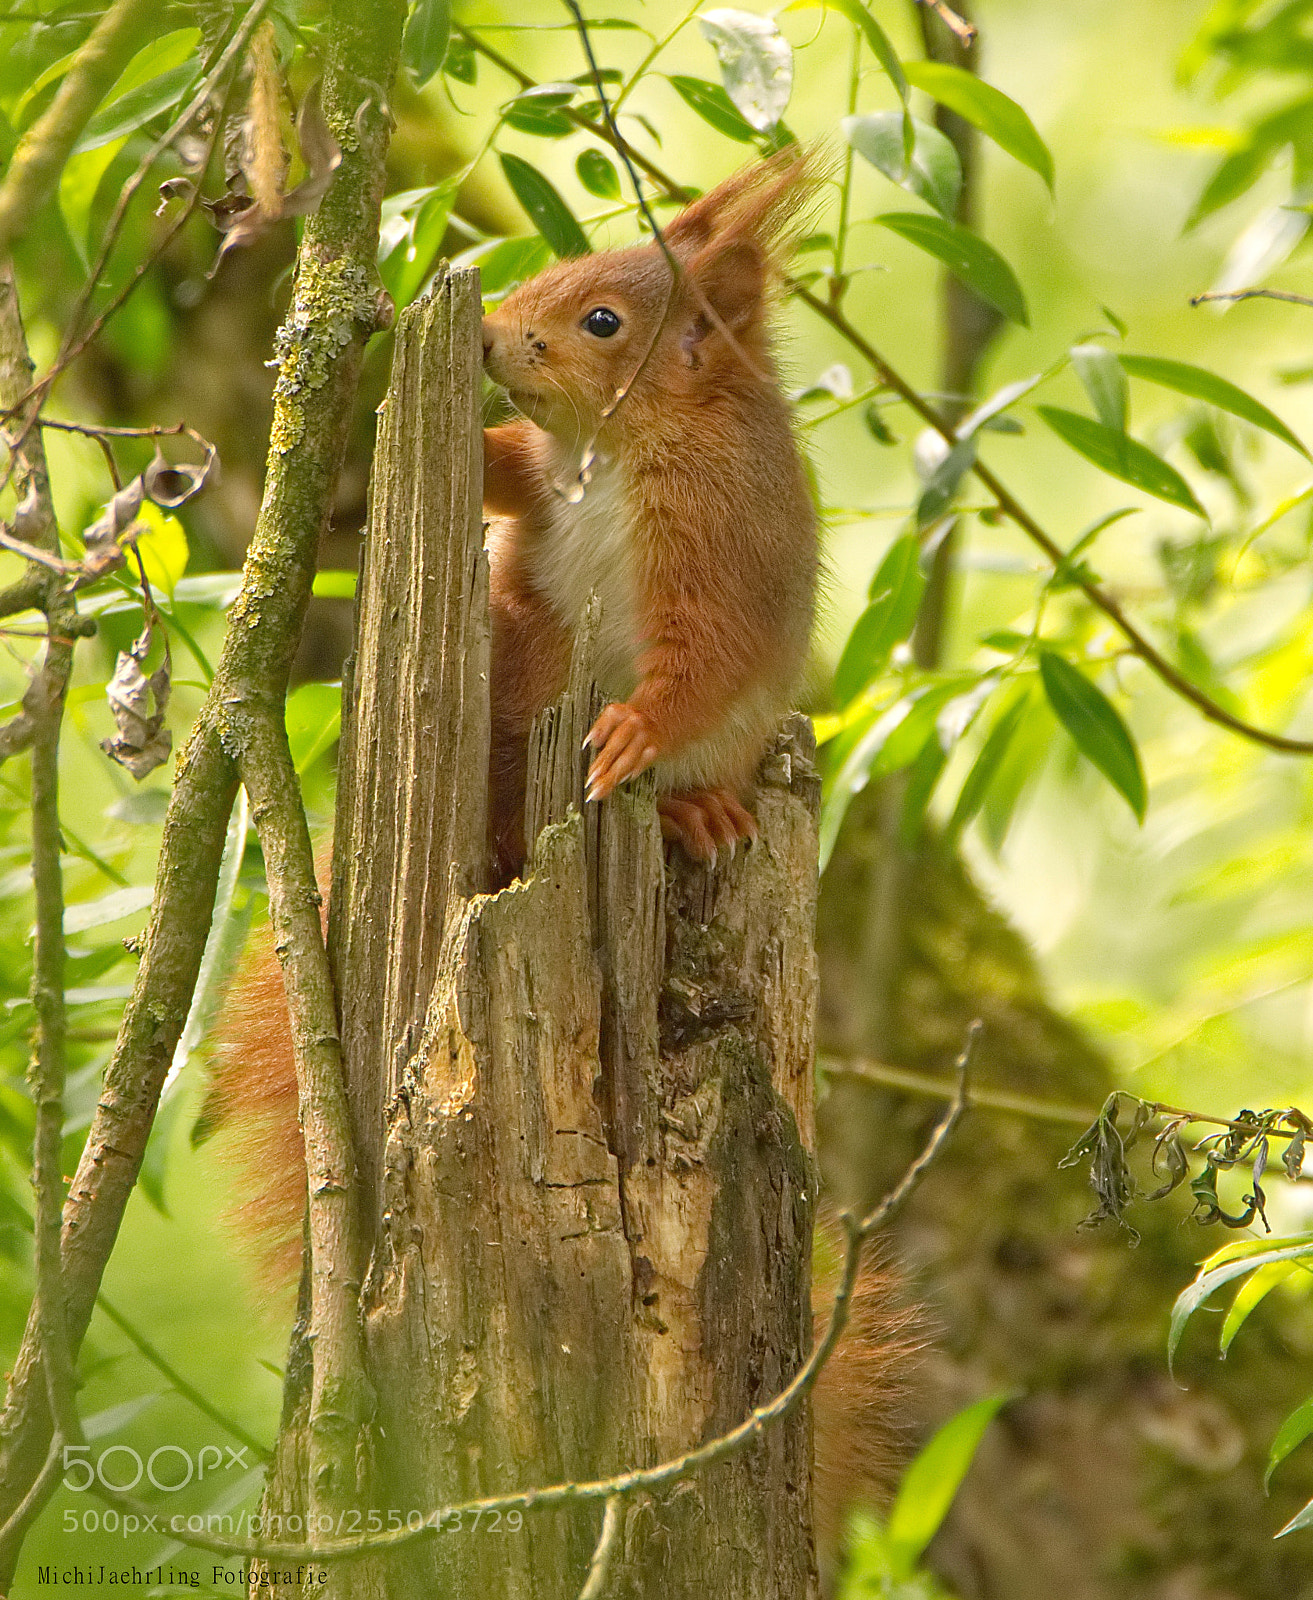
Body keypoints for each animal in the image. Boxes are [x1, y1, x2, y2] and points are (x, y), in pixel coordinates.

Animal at [209, 152, 912, 1577]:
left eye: (601, 321)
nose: (487, 337)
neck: (611, 453)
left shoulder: (717, 549)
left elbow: (696, 657)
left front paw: (635, 732)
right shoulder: (536, 488)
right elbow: (494, 479)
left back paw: (692, 811)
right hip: (508, 667)